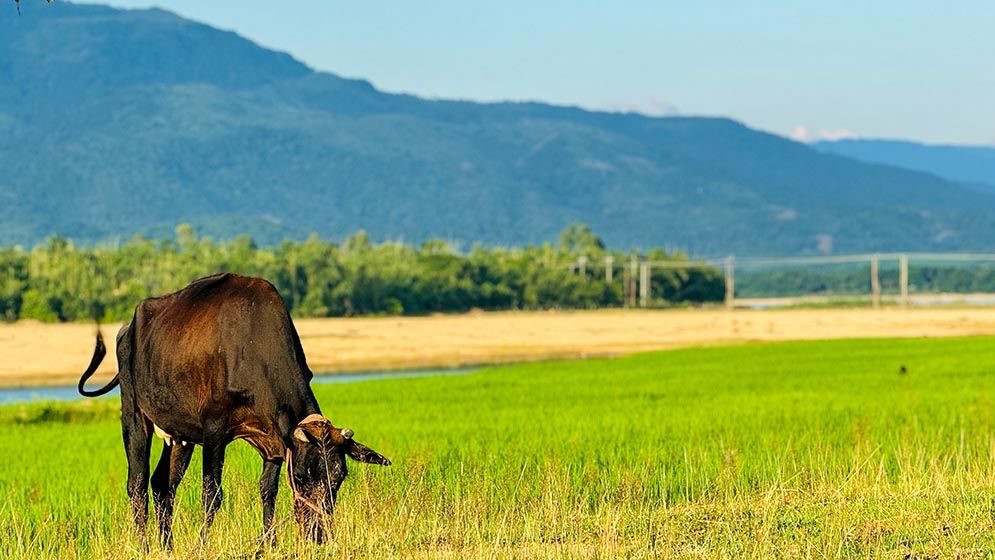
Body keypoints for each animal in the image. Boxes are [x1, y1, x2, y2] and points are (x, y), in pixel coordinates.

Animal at [77, 274, 392, 548]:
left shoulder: (273, 443)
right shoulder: (214, 429)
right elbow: (211, 493)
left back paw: (167, 546)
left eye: (338, 478)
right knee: (138, 485)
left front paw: (269, 544)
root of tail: (127, 327)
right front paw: (202, 546)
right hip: (133, 414)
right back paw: (143, 545)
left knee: (162, 485)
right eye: (302, 477)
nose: (318, 533)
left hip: (180, 436)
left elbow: (268, 490)